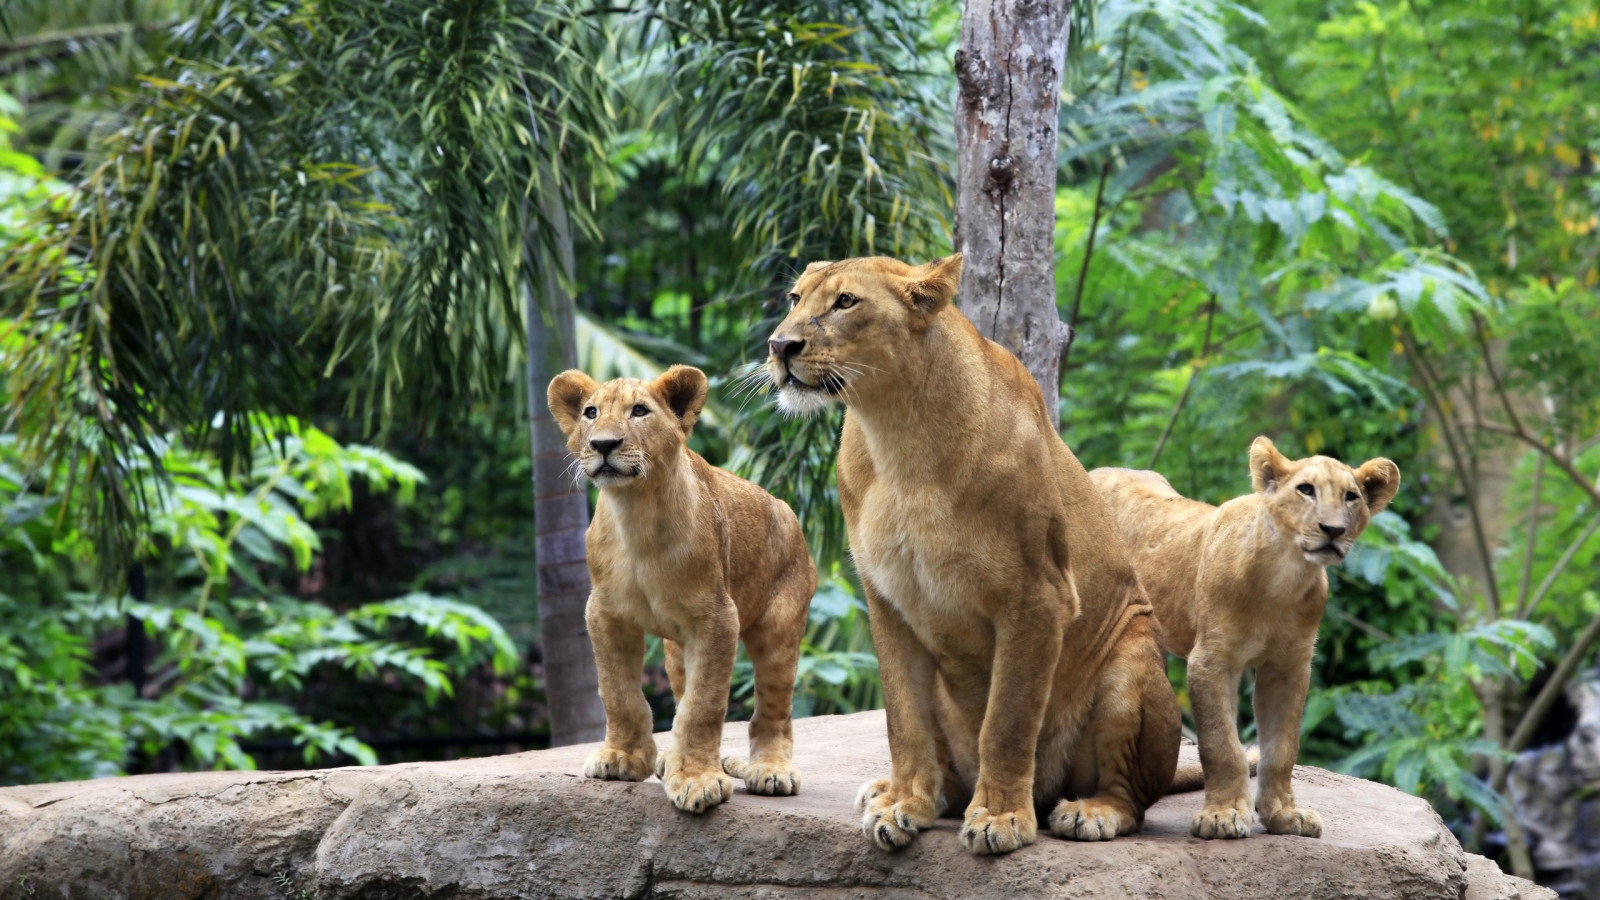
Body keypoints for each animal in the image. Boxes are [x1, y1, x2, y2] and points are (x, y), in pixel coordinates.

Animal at [547, 365, 816, 814]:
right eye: (590, 413)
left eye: (640, 411)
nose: (603, 444)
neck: (635, 514)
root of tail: (786, 510)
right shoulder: (605, 614)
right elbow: (618, 692)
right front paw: (622, 758)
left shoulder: (717, 619)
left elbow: (702, 705)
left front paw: (696, 780)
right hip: (675, 648)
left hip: (780, 627)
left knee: (773, 709)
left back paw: (771, 770)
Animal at [765, 253, 1180, 855]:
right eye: (795, 298)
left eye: (846, 302)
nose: (779, 346)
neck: (896, 431)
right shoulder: (887, 600)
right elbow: (902, 719)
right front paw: (904, 805)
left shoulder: (1038, 598)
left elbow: (1006, 721)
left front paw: (1000, 818)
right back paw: (904, 792)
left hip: (1132, 659)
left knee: (1132, 796)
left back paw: (1090, 811)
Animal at [1090, 438, 1399, 839]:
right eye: (1306, 490)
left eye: (1351, 497)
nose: (1332, 530)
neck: (1284, 578)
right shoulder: (1211, 660)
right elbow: (1221, 743)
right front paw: (1221, 815)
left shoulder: (1288, 667)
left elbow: (1283, 748)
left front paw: (1285, 814)